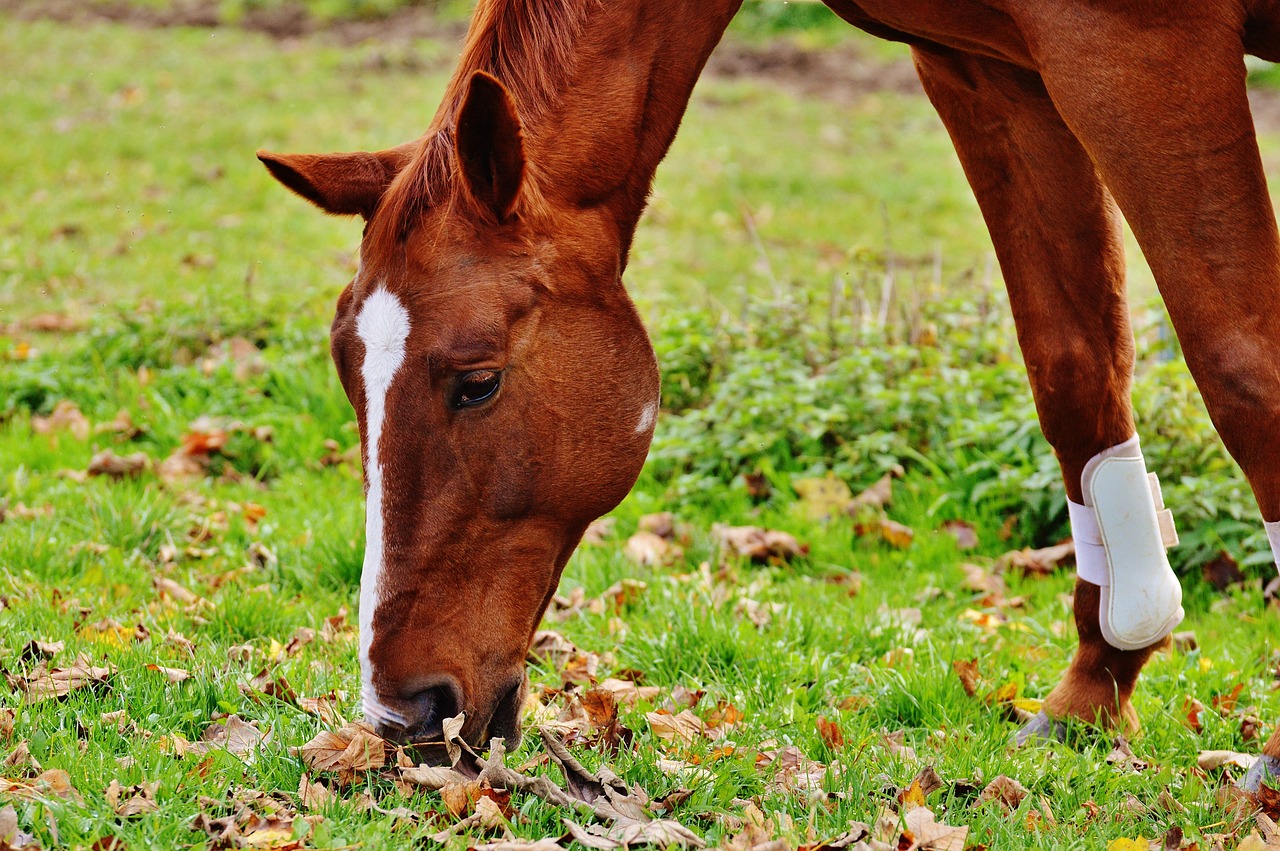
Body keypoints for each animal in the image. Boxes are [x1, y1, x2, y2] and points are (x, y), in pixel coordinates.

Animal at [254, 0, 1280, 783]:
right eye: (351, 380)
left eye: (477, 383)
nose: (401, 713)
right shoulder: (990, 68)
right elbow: (1073, 365)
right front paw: (1095, 688)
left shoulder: (1135, 48)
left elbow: (1244, 369)